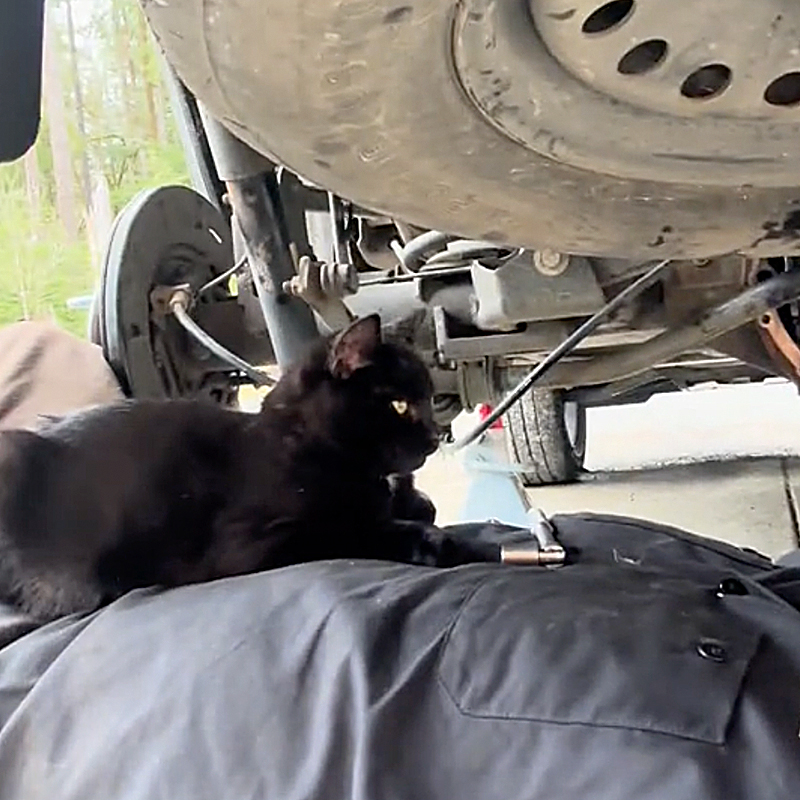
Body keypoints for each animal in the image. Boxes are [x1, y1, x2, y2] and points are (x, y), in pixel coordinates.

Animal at [0, 316, 496, 620]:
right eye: (399, 404)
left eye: (430, 399)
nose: (436, 435)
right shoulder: (257, 542)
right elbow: (357, 530)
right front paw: (434, 542)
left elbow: (418, 505)